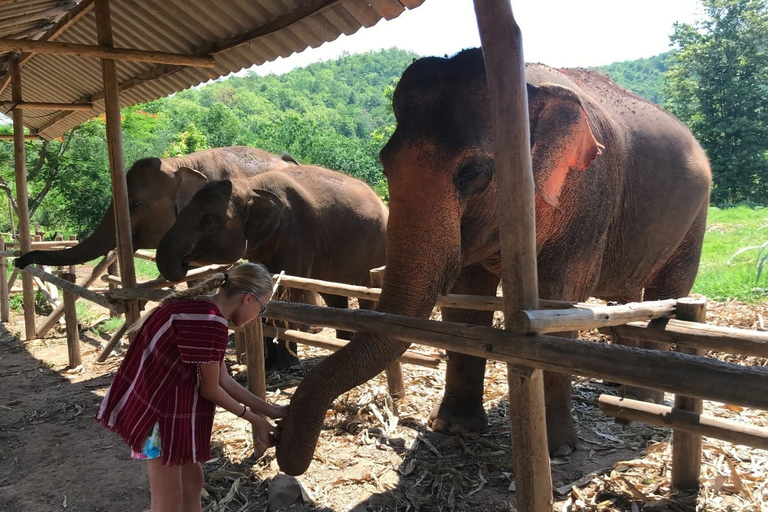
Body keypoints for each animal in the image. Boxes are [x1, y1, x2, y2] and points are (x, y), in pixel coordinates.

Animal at [154, 166, 390, 370]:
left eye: (208, 221)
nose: (184, 262)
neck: (251, 184)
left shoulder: (296, 233)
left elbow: (289, 293)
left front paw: (285, 366)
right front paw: (267, 366)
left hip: (376, 248)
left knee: (364, 293)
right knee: (334, 296)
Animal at [276, 49, 712, 476]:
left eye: (472, 172)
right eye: (385, 163)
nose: (287, 455)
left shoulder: (589, 199)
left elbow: (558, 301)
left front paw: (559, 450)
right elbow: (467, 304)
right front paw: (453, 427)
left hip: (695, 217)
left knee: (666, 297)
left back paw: (641, 405)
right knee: (631, 298)